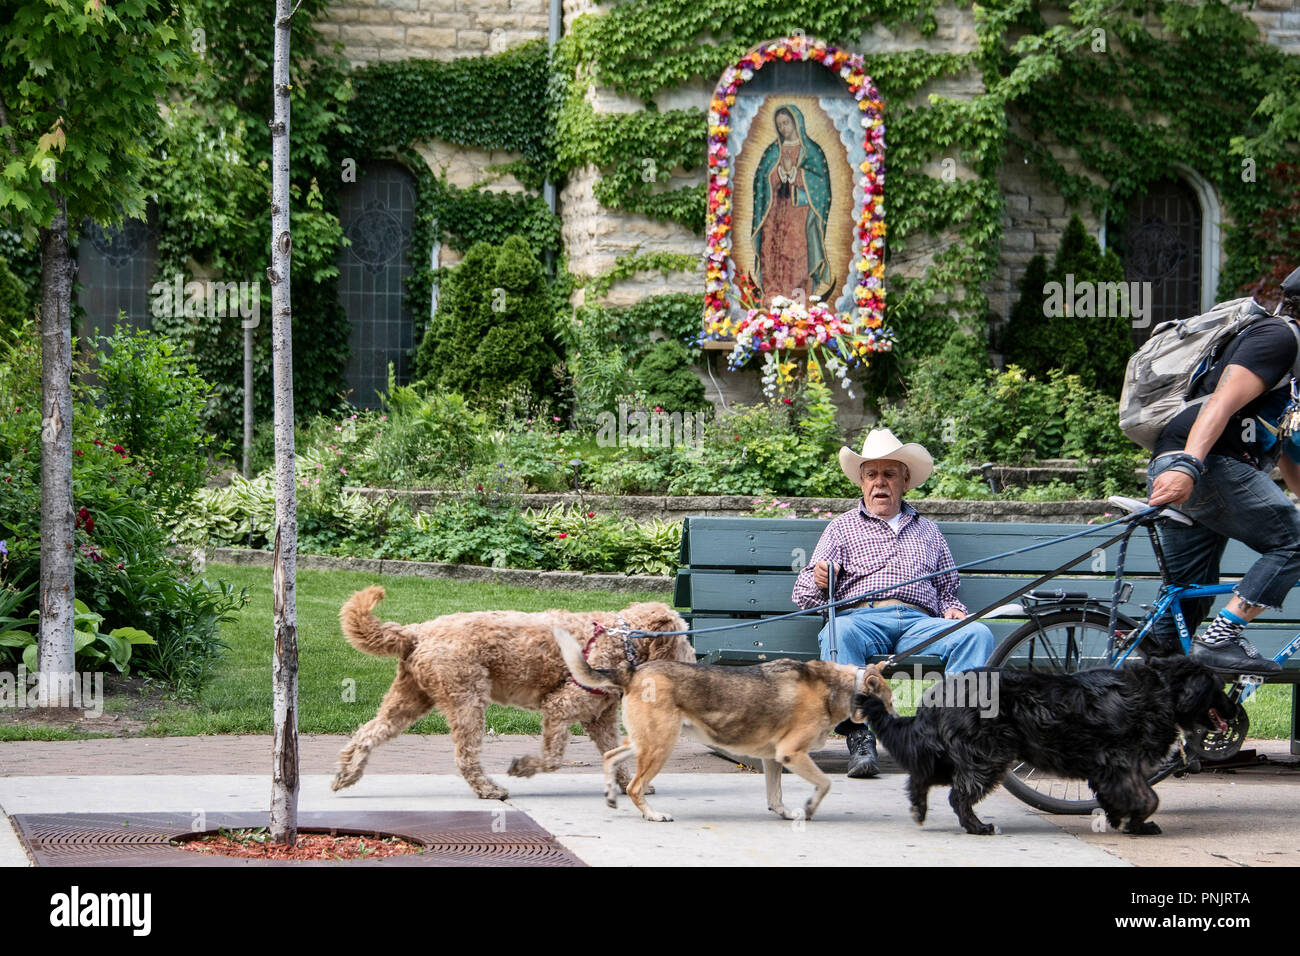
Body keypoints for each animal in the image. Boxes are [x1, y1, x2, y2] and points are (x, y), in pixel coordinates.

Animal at [327, 590, 691, 801]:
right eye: (685, 636)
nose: (695, 660)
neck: (623, 641)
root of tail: (417, 632)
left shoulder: (599, 718)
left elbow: (614, 754)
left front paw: (630, 782)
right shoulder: (560, 706)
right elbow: (553, 758)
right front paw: (523, 768)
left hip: (409, 699)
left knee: (367, 733)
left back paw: (346, 775)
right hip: (467, 700)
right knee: (465, 756)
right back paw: (490, 789)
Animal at [852, 658, 1237, 837]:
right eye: (1219, 688)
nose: (1237, 711)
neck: (1161, 690)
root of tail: (941, 693)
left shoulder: (1111, 771)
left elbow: (1119, 797)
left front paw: (1119, 819)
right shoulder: (1121, 764)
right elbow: (1149, 798)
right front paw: (1138, 824)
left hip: (957, 755)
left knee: (922, 777)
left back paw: (919, 808)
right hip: (987, 756)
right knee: (957, 795)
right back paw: (978, 827)